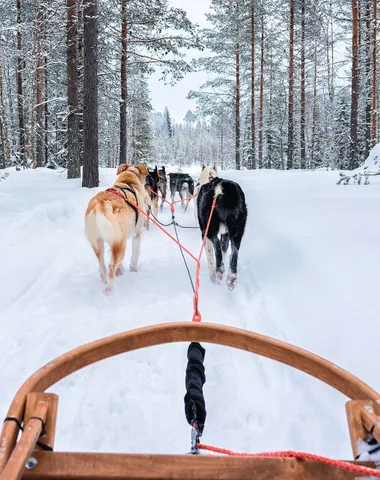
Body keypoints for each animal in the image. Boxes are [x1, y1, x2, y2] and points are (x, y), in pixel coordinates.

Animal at [84, 164, 148, 292]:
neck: (128, 180)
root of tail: (102, 202)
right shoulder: (137, 235)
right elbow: (134, 256)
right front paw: (133, 269)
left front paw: (121, 269)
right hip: (120, 242)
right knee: (111, 266)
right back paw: (109, 289)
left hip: (99, 243)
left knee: (102, 267)